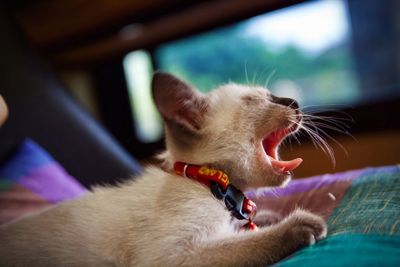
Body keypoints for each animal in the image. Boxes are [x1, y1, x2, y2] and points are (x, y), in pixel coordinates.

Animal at [0, 72, 324, 266]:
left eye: (273, 96)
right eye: (255, 100)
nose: (293, 102)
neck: (211, 183)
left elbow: (249, 226)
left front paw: (270, 216)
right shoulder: (172, 256)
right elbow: (247, 244)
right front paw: (304, 223)